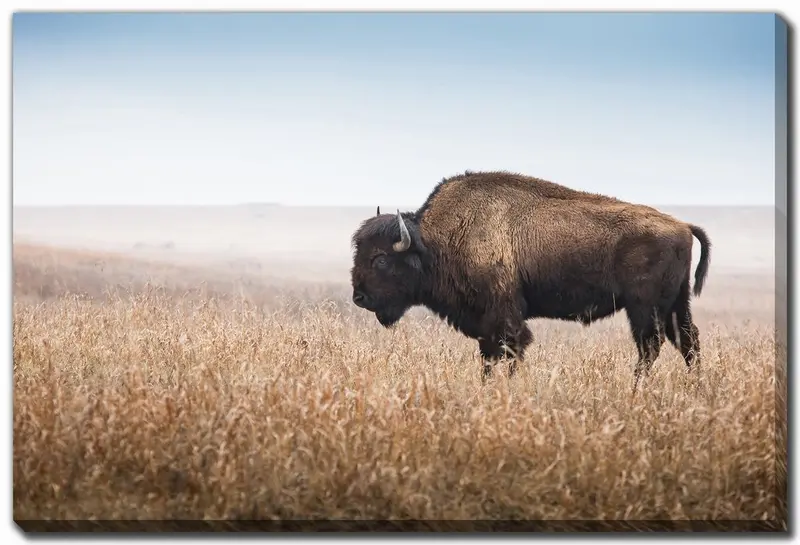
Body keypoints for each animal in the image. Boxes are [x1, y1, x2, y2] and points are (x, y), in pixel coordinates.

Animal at [350, 170, 711, 391]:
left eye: (380, 258)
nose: (359, 297)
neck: (436, 241)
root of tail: (682, 225)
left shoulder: (504, 316)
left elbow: (510, 350)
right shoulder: (486, 323)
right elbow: (489, 355)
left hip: (644, 308)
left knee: (651, 345)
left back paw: (636, 388)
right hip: (675, 304)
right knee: (687, 341)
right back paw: (694, 386)